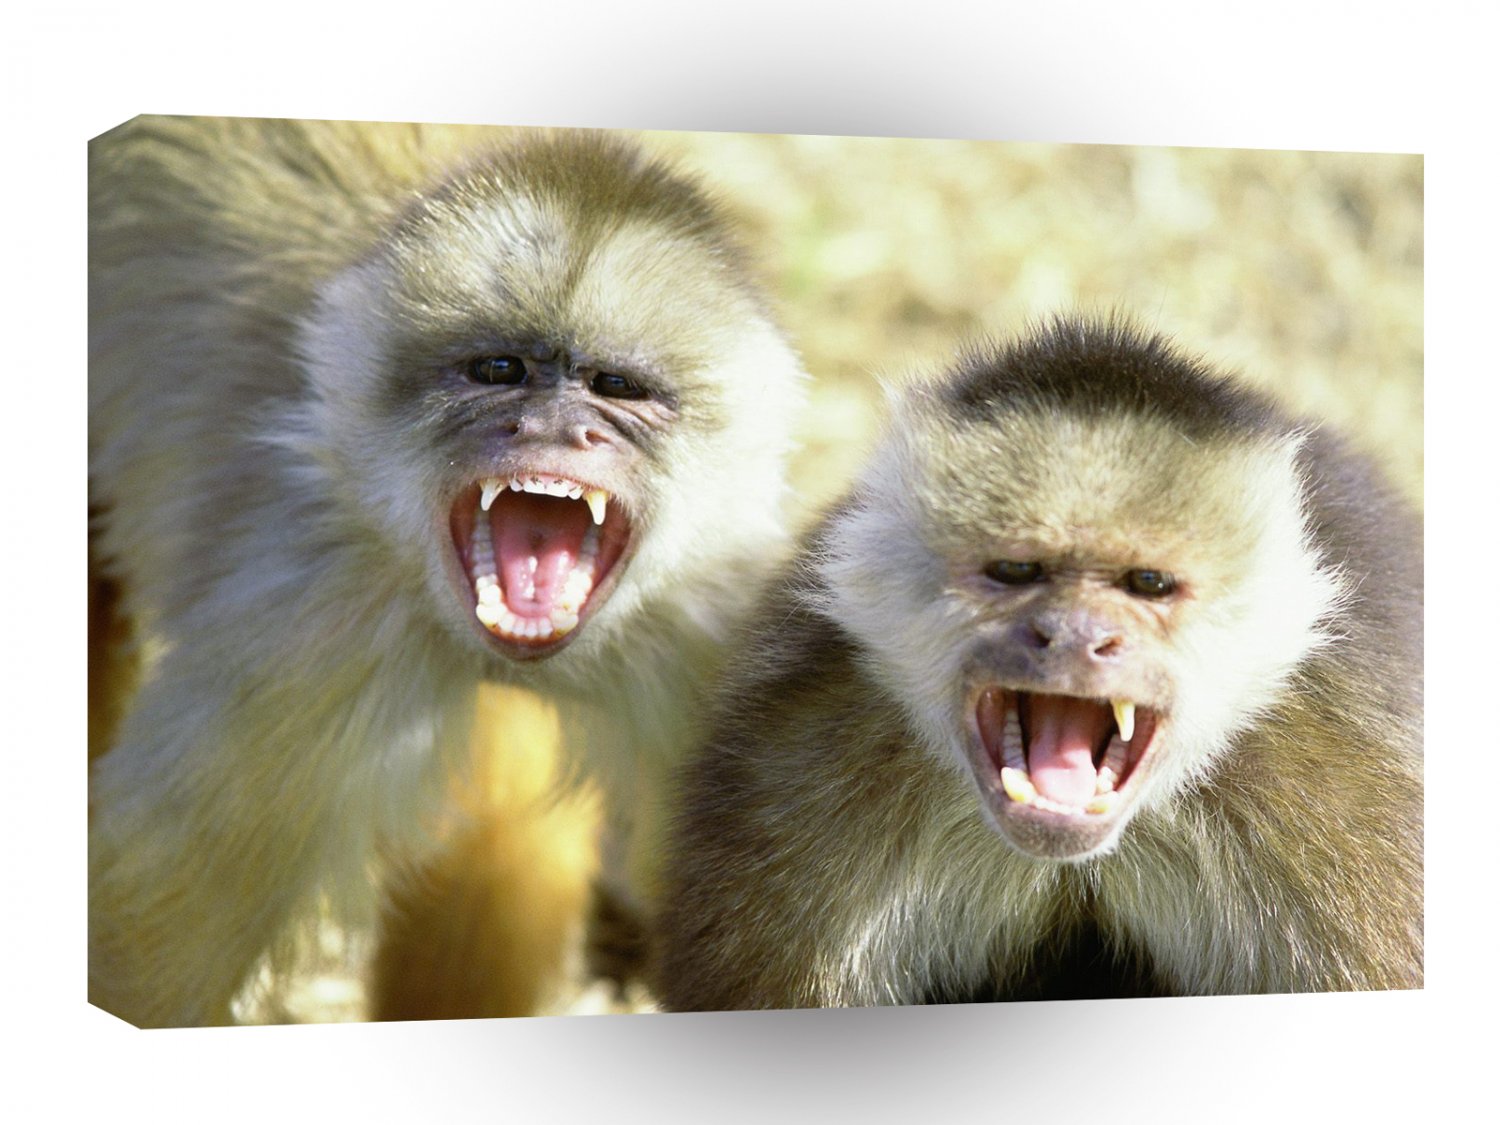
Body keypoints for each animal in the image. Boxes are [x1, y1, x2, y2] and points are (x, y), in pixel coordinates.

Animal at [88, 116, 806, 1026]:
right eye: (499, 371)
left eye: (615, 387)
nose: (552, 427)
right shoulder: (309, 631)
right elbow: (147, 948)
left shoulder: (714, 633)